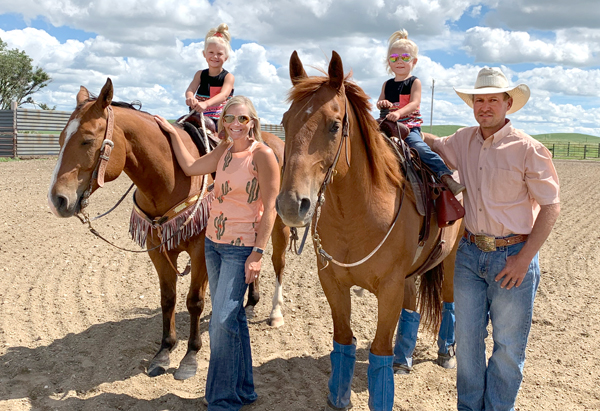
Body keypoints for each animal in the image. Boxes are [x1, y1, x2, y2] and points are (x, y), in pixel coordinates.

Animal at [46, 80, 288, 384]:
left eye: (87, 139)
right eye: (60, 139)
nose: (57, 200)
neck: (170, 176)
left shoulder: (200, 250)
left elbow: (194, 301)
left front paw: (190, 356)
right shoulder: (159, 249)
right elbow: (168, 299)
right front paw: (164, 351)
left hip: (279, 223)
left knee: (277, 261)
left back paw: (275, 313)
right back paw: (250, 303)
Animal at [276, 52, 464, 411]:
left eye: (335, 125)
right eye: (284, 122)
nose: (292, 204)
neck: (357, 213)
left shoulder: (389, 287)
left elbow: (378, 350)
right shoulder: (332, 281)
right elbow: (343, 340)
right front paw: (338, 397)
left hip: (451, 259)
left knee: (449, 301)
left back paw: (446, 353)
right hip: (410, 274)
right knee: (412, 309)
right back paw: (403, 360)